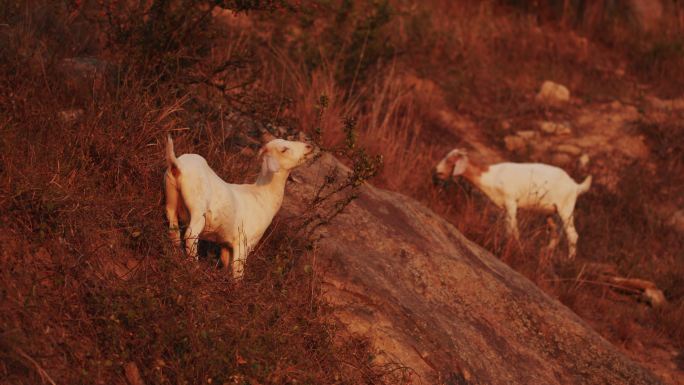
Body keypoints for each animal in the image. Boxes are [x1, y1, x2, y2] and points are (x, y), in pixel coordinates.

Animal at [164, 136, 314, 280]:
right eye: (284, 149)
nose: (309, 146)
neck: (262, 196)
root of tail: (178, 165)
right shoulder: (243, 243)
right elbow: (237, 271)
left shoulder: (226, 244)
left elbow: (226, 263)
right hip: (198, 209)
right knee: (190, 236)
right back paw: (194, 268)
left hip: (171, 201)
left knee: (173, 230)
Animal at [436, 147, 592, 258]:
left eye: (449, 160)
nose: (437, 172)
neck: (492, 176)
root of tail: (575, 186)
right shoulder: (505, 207)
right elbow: (508, 229)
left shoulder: (511, 202)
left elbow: (514, 230)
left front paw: (516, 249)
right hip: (552, 213)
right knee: (556, 234)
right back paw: (546, 254)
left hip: (566, 209)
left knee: (573, 235)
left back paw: (569, 261)